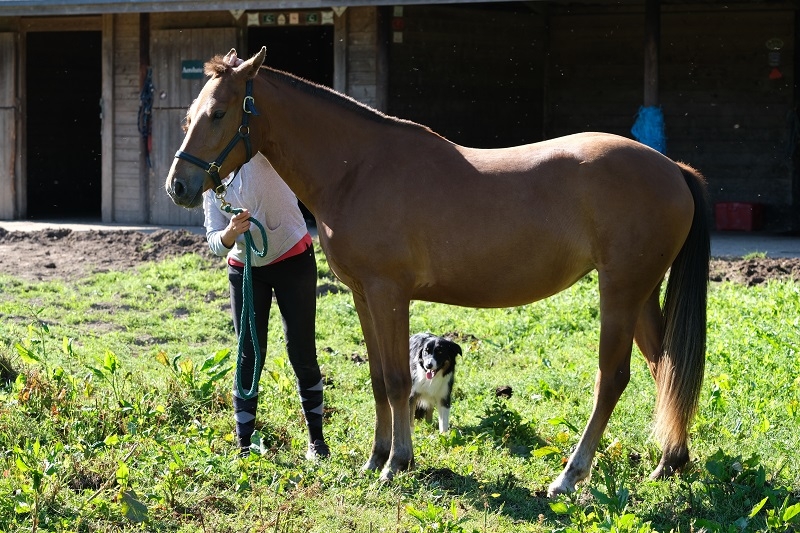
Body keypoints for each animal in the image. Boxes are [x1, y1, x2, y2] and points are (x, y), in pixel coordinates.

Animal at [166, 47, 709, 497]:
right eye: (188, 115)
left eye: (218, 113)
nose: (179, 186)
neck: (357, 169)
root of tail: (673, 169)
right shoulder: (364, 295)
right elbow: (379, 379)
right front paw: (376, 458)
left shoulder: (389, 294)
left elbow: (394, 381)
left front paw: (397, 463)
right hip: (641, 294)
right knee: (666, 369)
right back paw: (668, 463)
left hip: (620, 291)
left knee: (612, 378)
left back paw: (569, 477)